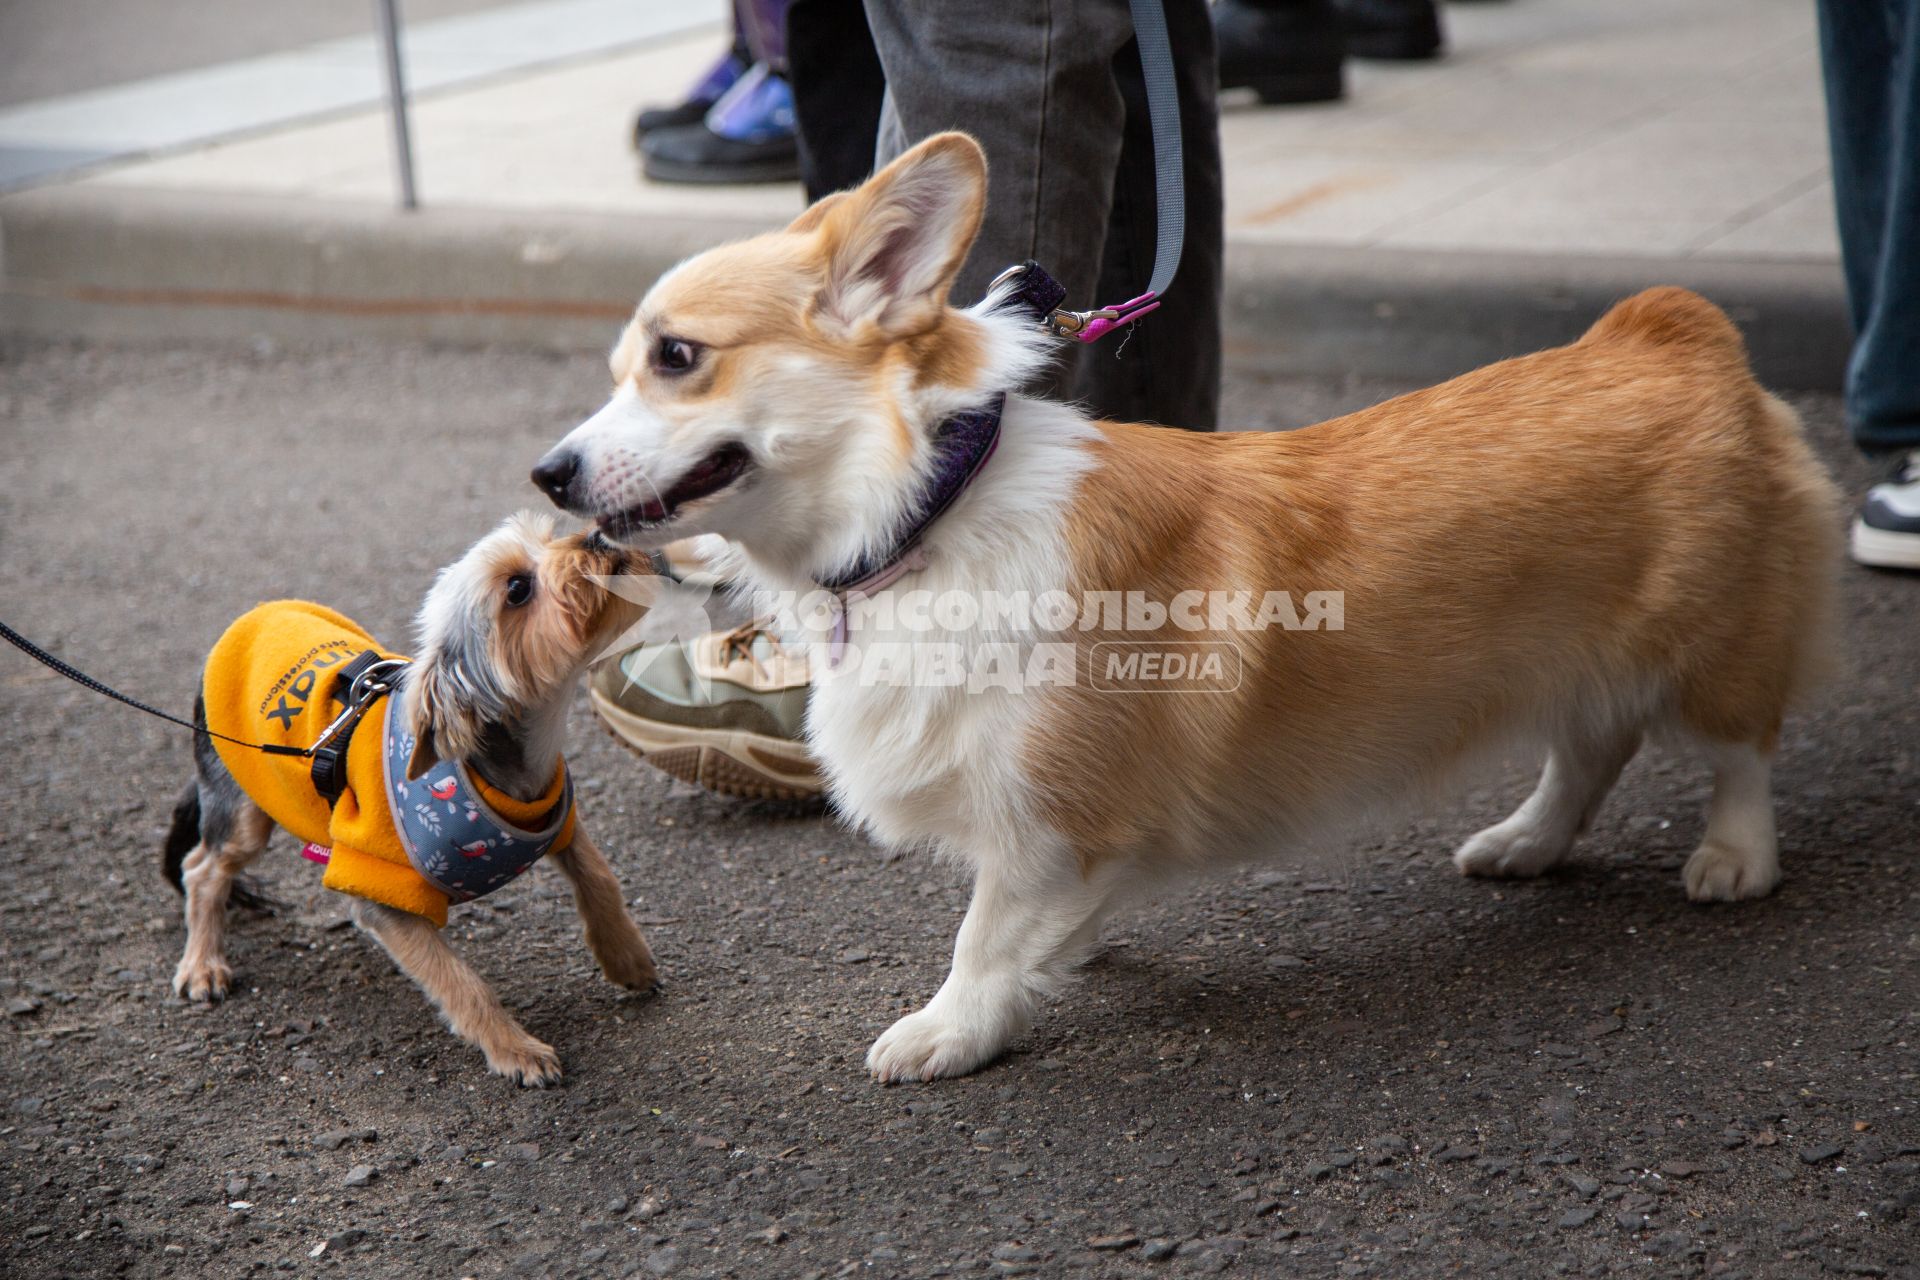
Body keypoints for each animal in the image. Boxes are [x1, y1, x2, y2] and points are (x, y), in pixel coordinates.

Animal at [161, 510, 652, 1082]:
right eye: (517, 589)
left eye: (553, 537)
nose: (597, 536)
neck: (490, 765)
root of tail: (250, 617)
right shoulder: (381, 893)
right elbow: (461, 982)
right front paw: (516, 1050)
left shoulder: (555, 820)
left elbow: (598, 876)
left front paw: (627, 958)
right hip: (243, 805)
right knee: (203, 869)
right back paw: (203, 965)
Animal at [529, 132, 1843, 1082]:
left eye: (679, 356)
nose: (546, 475)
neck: (926, 511)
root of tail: (1671, 331)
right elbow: (1045, 915)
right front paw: (1070, 949)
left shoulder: (1039, 806)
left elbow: (983, 931)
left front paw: (952, 1028)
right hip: (1567, 654)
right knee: (1590, 747)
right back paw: (1525, 839)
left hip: (1712, 638)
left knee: (1739, 747)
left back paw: (1733, 857)